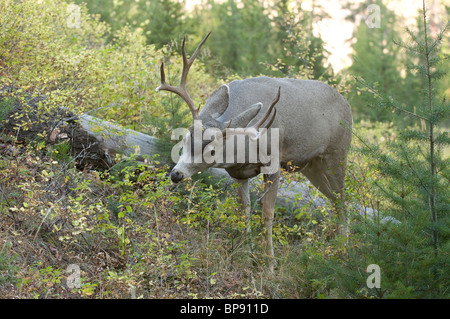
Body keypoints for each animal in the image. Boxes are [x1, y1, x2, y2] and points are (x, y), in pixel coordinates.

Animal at [156, 32, 354, 272]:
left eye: (212, 151)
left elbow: (268, 213)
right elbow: (245, 210)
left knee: (344, 200)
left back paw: (343, 253)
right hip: (311, 166)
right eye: (185, 138)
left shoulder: (274, 163)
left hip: (338, 153)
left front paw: (269, 264)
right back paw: (335, 248)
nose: (176, 174)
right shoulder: (238, 173)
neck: (244, 150)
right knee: (335, 200)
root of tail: (347, 104)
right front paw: (245, 253)